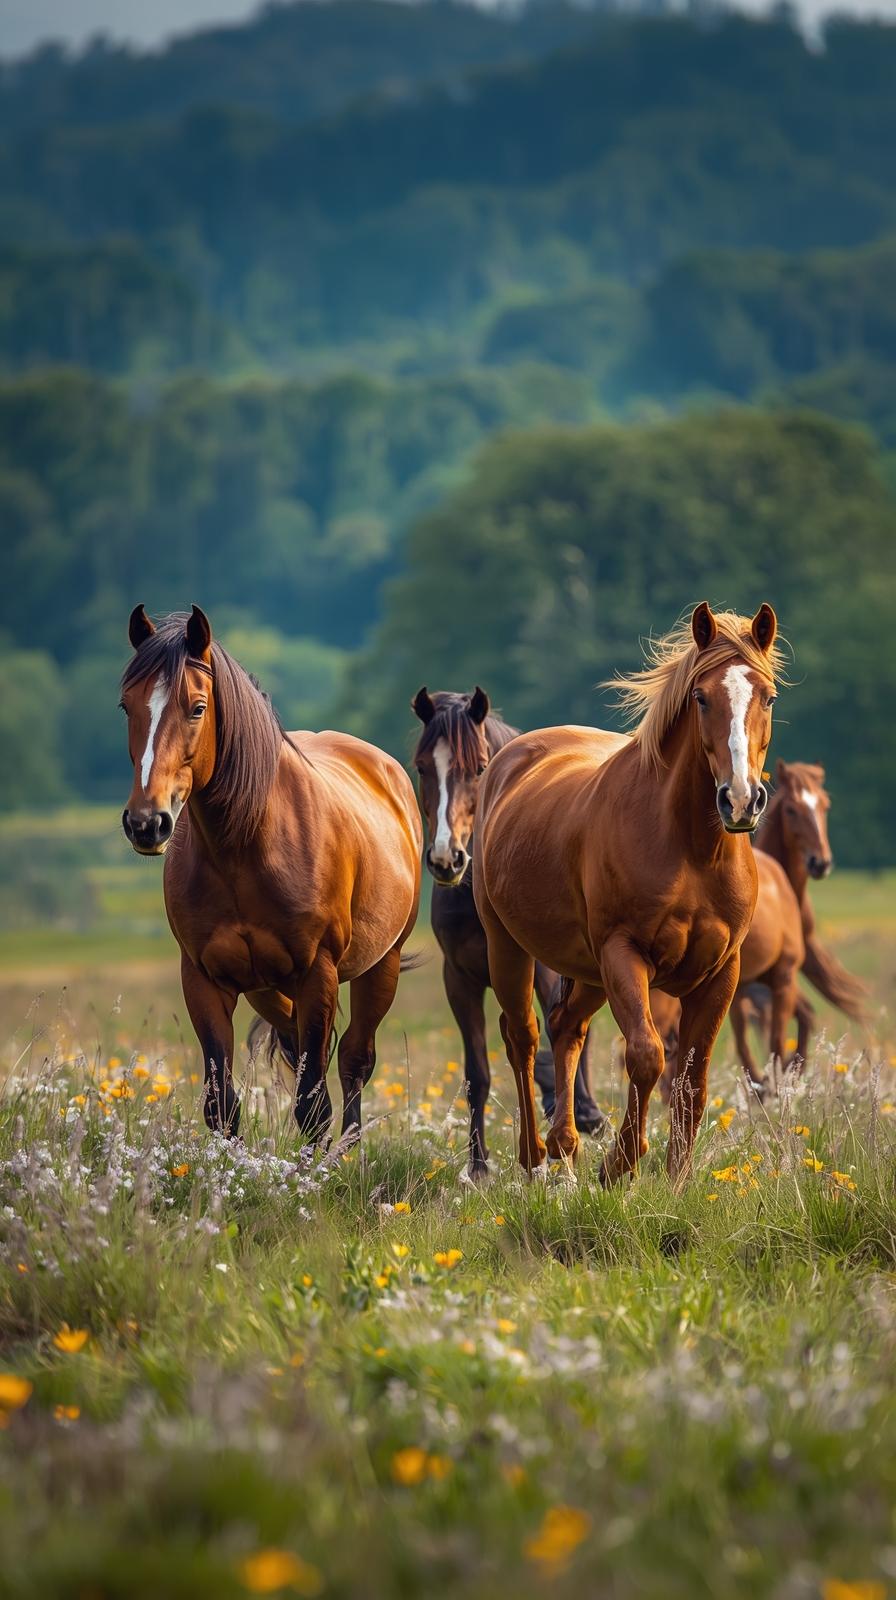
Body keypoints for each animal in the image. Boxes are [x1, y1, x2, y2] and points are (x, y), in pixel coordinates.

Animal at [120, 604, 422, 1143]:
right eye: (126, 706)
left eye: (197, 707)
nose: (146, 823)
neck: (245, 850)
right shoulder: (203, 980)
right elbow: (221, 1105)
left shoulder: (318, 974)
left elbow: (313, 1105)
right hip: (267, 990)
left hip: (380, 967)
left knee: (354, 1061)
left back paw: (350, 1150)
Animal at [411, 687, 603, 1177]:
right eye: (422, 767)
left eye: (480, 767)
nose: (447, 860)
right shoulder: (460, 979)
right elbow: (477, 1072)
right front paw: (478, 1165)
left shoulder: (543, 971)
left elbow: (556, 1034)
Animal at [473, 602, 782, 1184]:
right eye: (701, 697)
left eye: (768, 696)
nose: (739, 800)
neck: (691, 848)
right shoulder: (624, 953)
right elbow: (647, 1055)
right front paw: (620, 1163)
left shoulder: (721, 972)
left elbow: (691, 1081)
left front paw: (677, 1181)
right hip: (510, 947)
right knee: (523, 1036)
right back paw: (535, 1155)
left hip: (589, 970)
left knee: (566, 1027)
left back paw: (566, 1143)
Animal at [654, 759, 867, 1096]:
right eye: (791, 810)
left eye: (825, 805)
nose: (820, 862)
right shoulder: (778, 977)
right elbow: (783, 1033)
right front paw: (779, 1079)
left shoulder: (750, 987)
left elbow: (766, 1035)